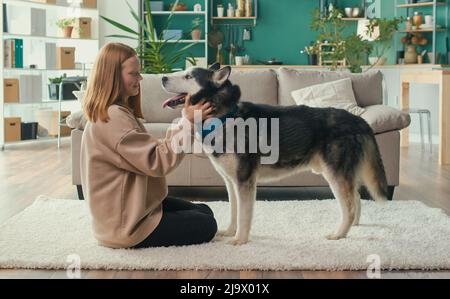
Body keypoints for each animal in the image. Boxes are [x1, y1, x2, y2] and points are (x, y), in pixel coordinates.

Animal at [163, 63, 390, 246]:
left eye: (188, 76)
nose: (163, 77)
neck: (224, 117)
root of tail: (358, 120)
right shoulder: (231, 181)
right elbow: (234, 211)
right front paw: (229, 232)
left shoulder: (245, 181)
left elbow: (244, 215)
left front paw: (240, 240)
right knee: (356, 198)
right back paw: (354, 226)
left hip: (335, 175)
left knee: (349, 206)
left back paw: (339, 234)